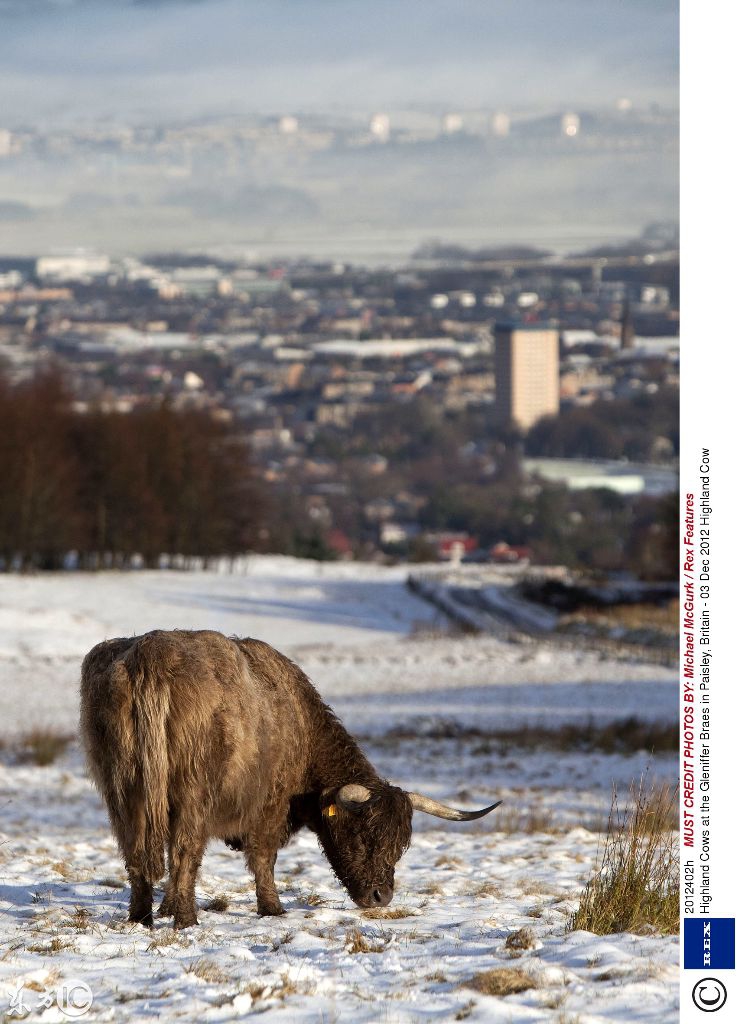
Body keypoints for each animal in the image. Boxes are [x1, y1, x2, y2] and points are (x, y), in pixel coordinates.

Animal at [79, 626, 497, 933]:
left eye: (401, 844)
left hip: (122, 792)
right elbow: (264, 858)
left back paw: (142, 917)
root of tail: (150, 653)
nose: (381, 898)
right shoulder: (270, 806)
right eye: (364, 836)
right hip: (193, 793)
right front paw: (273, 908)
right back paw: (186, 919)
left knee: (136, 852)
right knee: (185, 850)